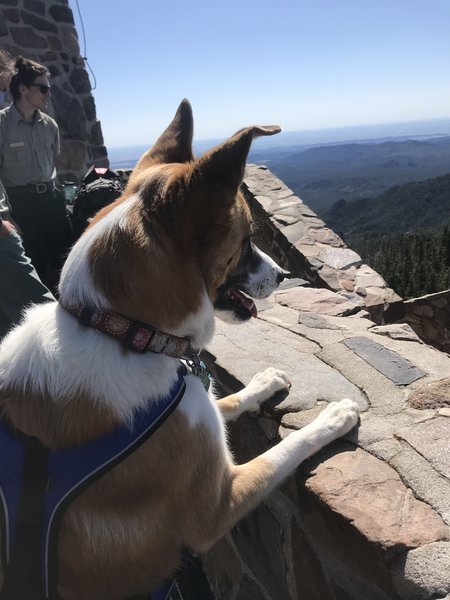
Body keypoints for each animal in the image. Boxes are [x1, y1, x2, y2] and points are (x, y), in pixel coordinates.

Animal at [0, 101, 358, 596]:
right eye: (247, 239)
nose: (284, 275)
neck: (124, 333)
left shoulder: (193, 407)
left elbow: (225, 400)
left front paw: (262, 383)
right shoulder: (218, 506)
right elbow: (284, 451)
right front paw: (333, 418)